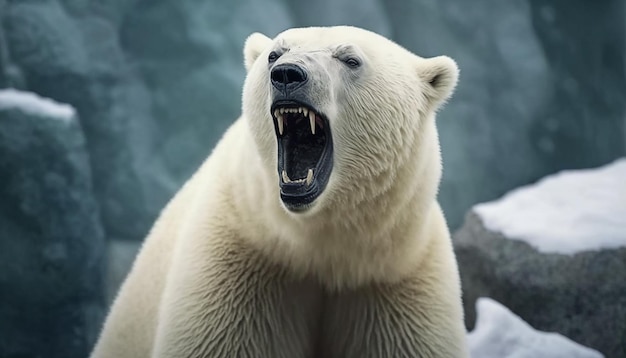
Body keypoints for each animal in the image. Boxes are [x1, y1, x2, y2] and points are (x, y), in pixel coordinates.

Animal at [90, 26, 466, 358]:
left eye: (350, 59)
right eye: (274, 53)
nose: (287, 74)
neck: (319, 245)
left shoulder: (398, 278)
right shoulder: (239, 262)